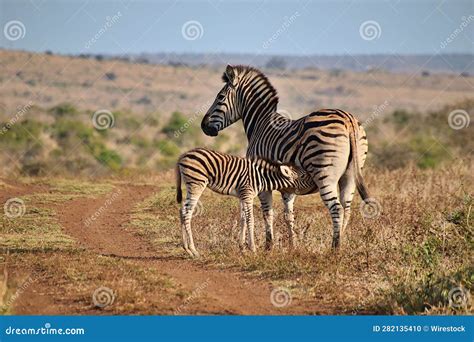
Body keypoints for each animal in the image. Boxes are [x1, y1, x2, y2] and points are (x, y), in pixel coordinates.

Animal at [175, 147, 314, 256]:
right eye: (303, 176)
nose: (315, 183)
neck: (262, 177)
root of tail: (183, 155)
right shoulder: (248, 195)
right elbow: (250, 219)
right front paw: (253, 249)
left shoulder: (243, 196)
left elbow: (242, 219)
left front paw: (242, 248)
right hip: (196, 184)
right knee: (187, 212)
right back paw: (193, 250)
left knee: (182, 210)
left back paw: (186, 248)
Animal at [200, 65, 370, 248]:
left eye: (220, 97)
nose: (203, 126)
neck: (260, 124)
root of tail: (348, 119)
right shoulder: (289, 185)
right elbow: (288, 215)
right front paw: (292, 246)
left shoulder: (259, 178)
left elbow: (267, 212)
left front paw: (269, 246)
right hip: (350, 175)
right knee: (347, 208)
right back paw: (342, 242)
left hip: (325, 174)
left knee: (336, 208)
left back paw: (335, 248)